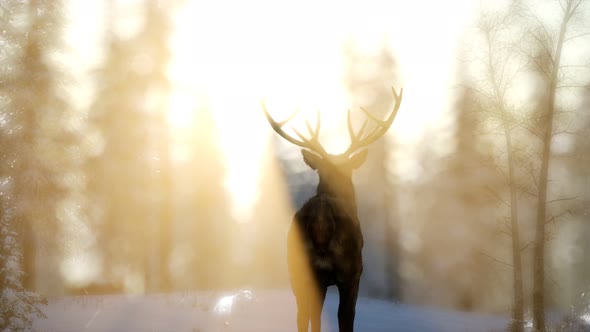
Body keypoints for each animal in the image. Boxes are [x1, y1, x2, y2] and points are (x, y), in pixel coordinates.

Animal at [262, 88, 404, 332]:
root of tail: (321, 218)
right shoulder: (355, 273)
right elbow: (345, 316)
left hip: (297, 268)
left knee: (303, 314)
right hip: (345, 267)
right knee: (338, 315)